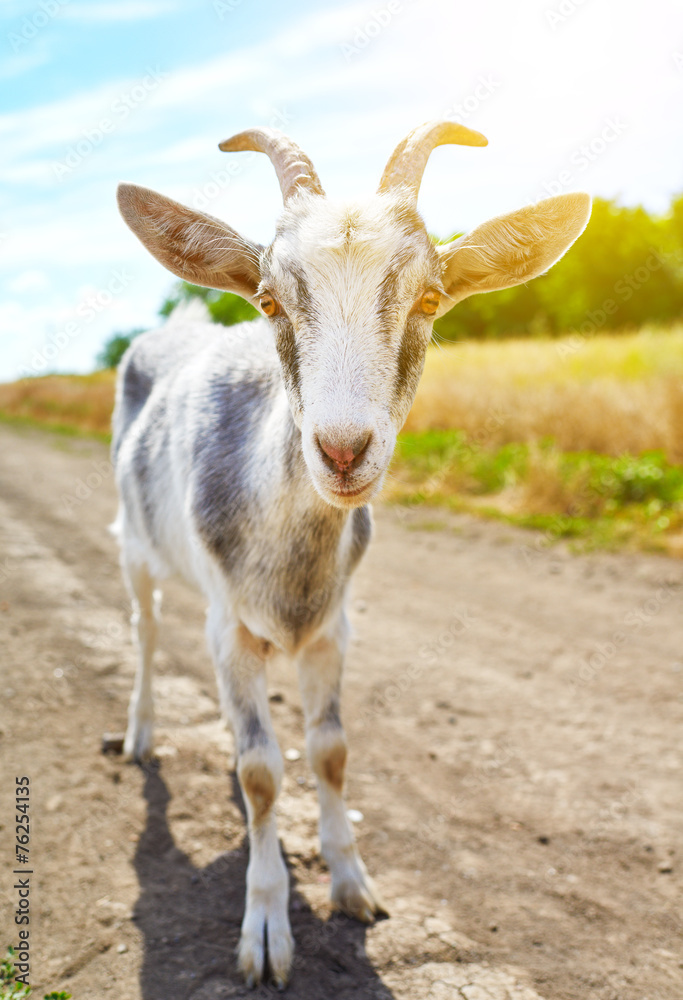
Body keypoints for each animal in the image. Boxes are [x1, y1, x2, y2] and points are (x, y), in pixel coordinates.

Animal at [115, 121, 592, 988]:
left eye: (429, 299)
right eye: (270, 299)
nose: (341, 451)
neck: (289, 558)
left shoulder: (332, 625)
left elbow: (329, 752)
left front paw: (350, 883)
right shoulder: (228, 625)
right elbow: (262, 771)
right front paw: (266, 930)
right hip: (134, 542)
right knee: (144, 628)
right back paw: (138, 734)